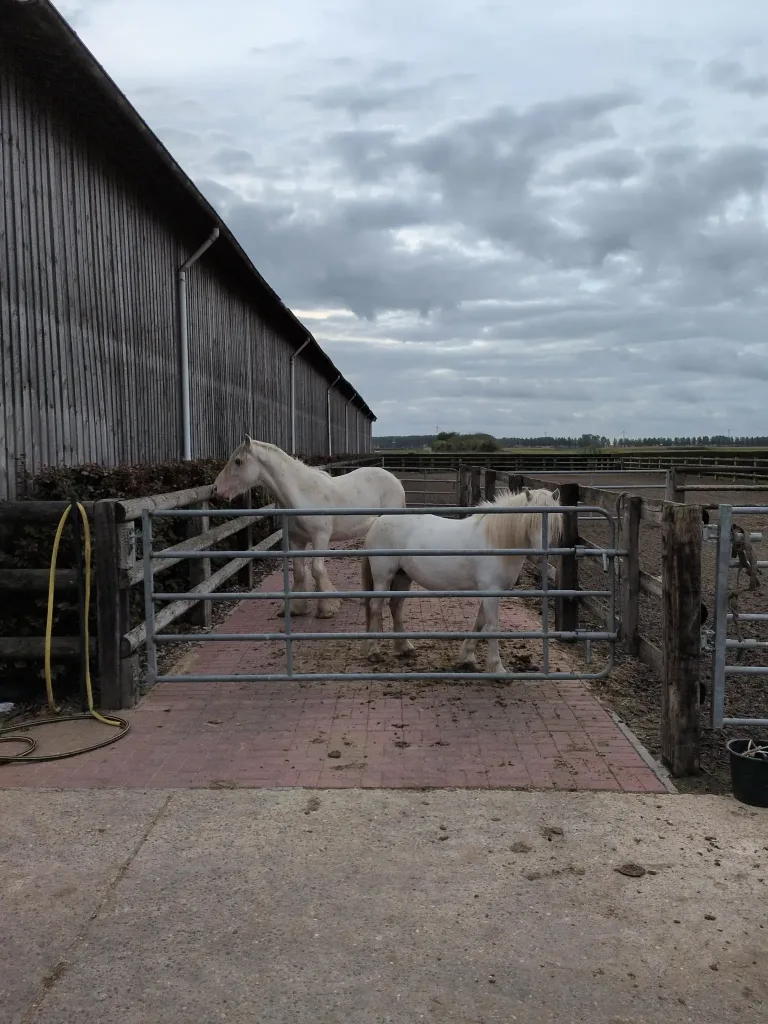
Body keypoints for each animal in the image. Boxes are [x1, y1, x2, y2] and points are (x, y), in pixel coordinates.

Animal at [212, 436, 406, 618]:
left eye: (238, 461)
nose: (215, 489)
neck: (303, 494)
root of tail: (395, 481)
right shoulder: (296, 540)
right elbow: (299, 572)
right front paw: (296, 608)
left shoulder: (320, 538)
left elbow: (317, 570)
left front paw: (328, 608)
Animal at [360, 486, 563, 673]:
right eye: (530, 520)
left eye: (553, 522)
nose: (539, 555)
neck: (495, 540)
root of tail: (377, 521)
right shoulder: (491, 591)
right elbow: (492, 626)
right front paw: (497, 667)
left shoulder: (490, 592)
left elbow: (480, 622)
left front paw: (466, 657)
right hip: (383, 577)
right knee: (376, 607)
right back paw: (373, 651)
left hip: (403, 577)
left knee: (395, 606)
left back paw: (405, 648)